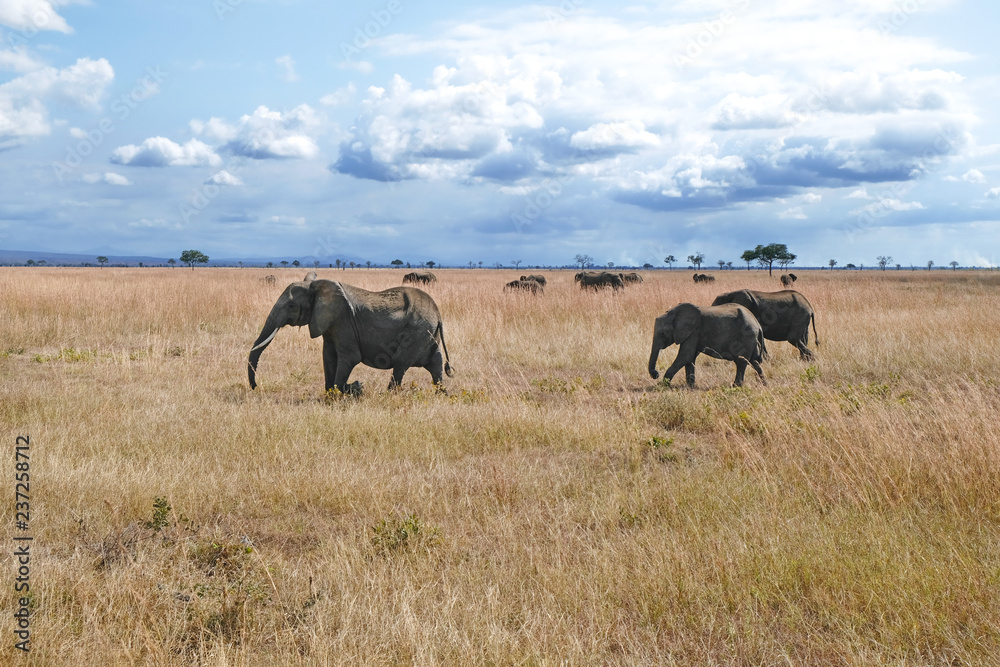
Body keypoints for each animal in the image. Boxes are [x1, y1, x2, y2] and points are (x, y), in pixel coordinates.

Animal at [248, 273, 454, 394]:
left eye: (291, 306)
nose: (256, 387)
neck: (317, 287)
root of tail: (438, 313)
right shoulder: (329, 324)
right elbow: (328, 357)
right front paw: (331, 394)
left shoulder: (343, 322)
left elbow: (349, 357)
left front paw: (343, 392)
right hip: (428, 334)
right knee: (435, 363)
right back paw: (441, 394)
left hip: (415, 332)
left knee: (401, 365)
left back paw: (388, 395)